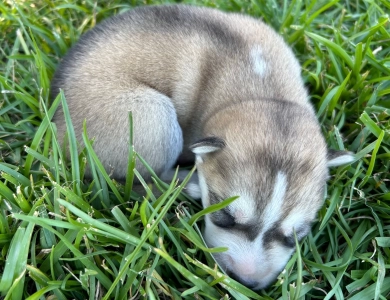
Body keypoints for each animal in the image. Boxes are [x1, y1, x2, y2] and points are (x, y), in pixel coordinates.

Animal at [51, 4, 354, 290]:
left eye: (294, 236)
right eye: (225, 216)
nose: (244, 281)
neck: (265, 94)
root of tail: (54, 124)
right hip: (153, 117)